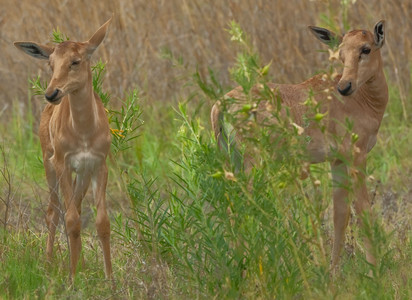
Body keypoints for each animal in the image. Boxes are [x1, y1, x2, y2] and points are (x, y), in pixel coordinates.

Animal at [14, 17, 112, 280]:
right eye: (50, 63)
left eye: (75, 61)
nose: (52, 93)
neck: (85, 132)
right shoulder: (62, 163)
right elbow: (70, 220)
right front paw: (73, 278)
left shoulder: (98, 165)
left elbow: (101, 221)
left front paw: (110, 279)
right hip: (50, 166)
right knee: (54, 212)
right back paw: (49, 263)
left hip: (81, 175)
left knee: (74, 208)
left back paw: (82, 264)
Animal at [211, 20, 388, 270]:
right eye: (341, 53)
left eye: (366, 48)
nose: (344, 87)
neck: (361, 99)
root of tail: (220, 106)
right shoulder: (357, 157)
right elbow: (364, 212)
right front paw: (375, 270)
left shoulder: (338, 161)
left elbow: (340, 215)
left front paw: (333, 271)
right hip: (252, 165)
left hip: (231, 163)